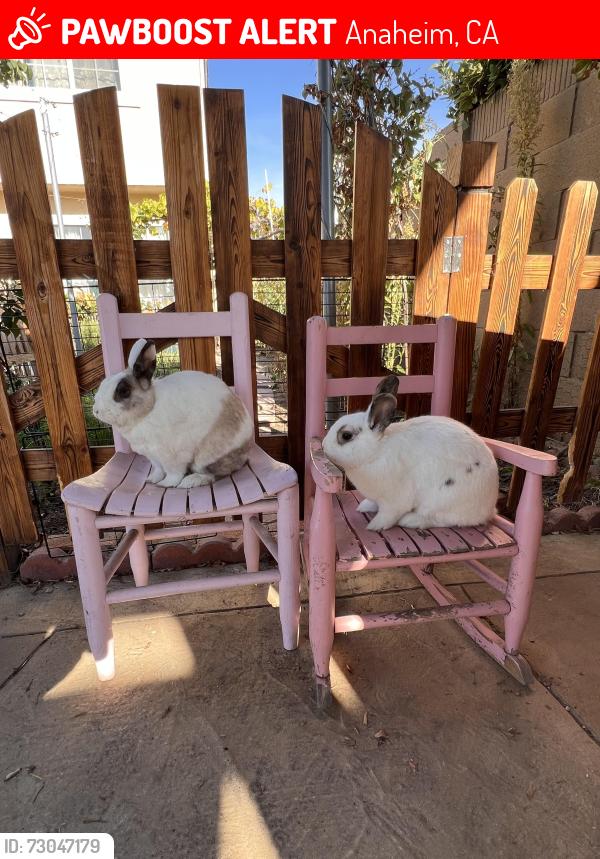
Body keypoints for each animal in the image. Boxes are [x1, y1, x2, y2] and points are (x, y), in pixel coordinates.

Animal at [93, 338, 254, 489]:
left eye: (123, 391)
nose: (96, 411)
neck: (149, 410)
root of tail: (247, 449)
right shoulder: (153, 457)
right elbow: (158, 470)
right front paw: (151, 479)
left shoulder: (173, 457)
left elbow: (173, 474)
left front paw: (165, 484)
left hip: (206, 457)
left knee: (214, 474)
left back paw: (190, 481)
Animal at [322, 375, 499, 532]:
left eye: (346, 436)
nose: (323, 446)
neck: (376, 451)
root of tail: (489, 508)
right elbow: (374, 503)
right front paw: (365, 506)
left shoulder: (394, 501)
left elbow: (388, 515)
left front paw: (374, 526)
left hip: (443, 500)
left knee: (440, 519)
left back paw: (410, 520)